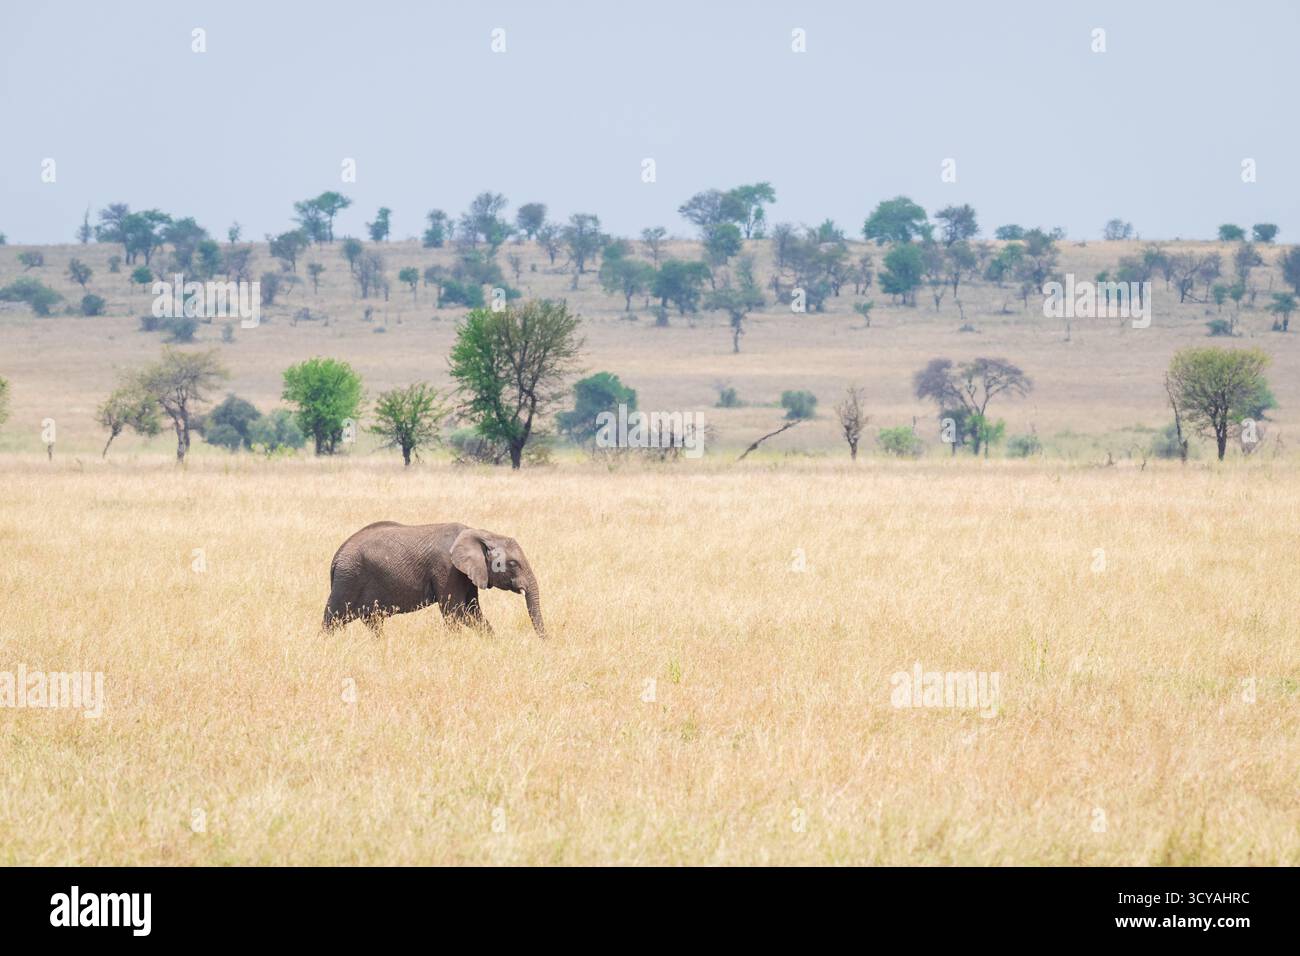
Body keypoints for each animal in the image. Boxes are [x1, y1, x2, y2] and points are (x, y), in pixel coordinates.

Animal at [322, 522, 546, 637]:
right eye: (513, 563)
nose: (545, 643)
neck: (480, 532)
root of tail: (337, 555)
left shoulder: (467, 574)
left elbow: (473, 611)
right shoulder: (447, 569)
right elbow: (455, 612)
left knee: (373, 622)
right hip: (349, 578)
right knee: (332, 619)